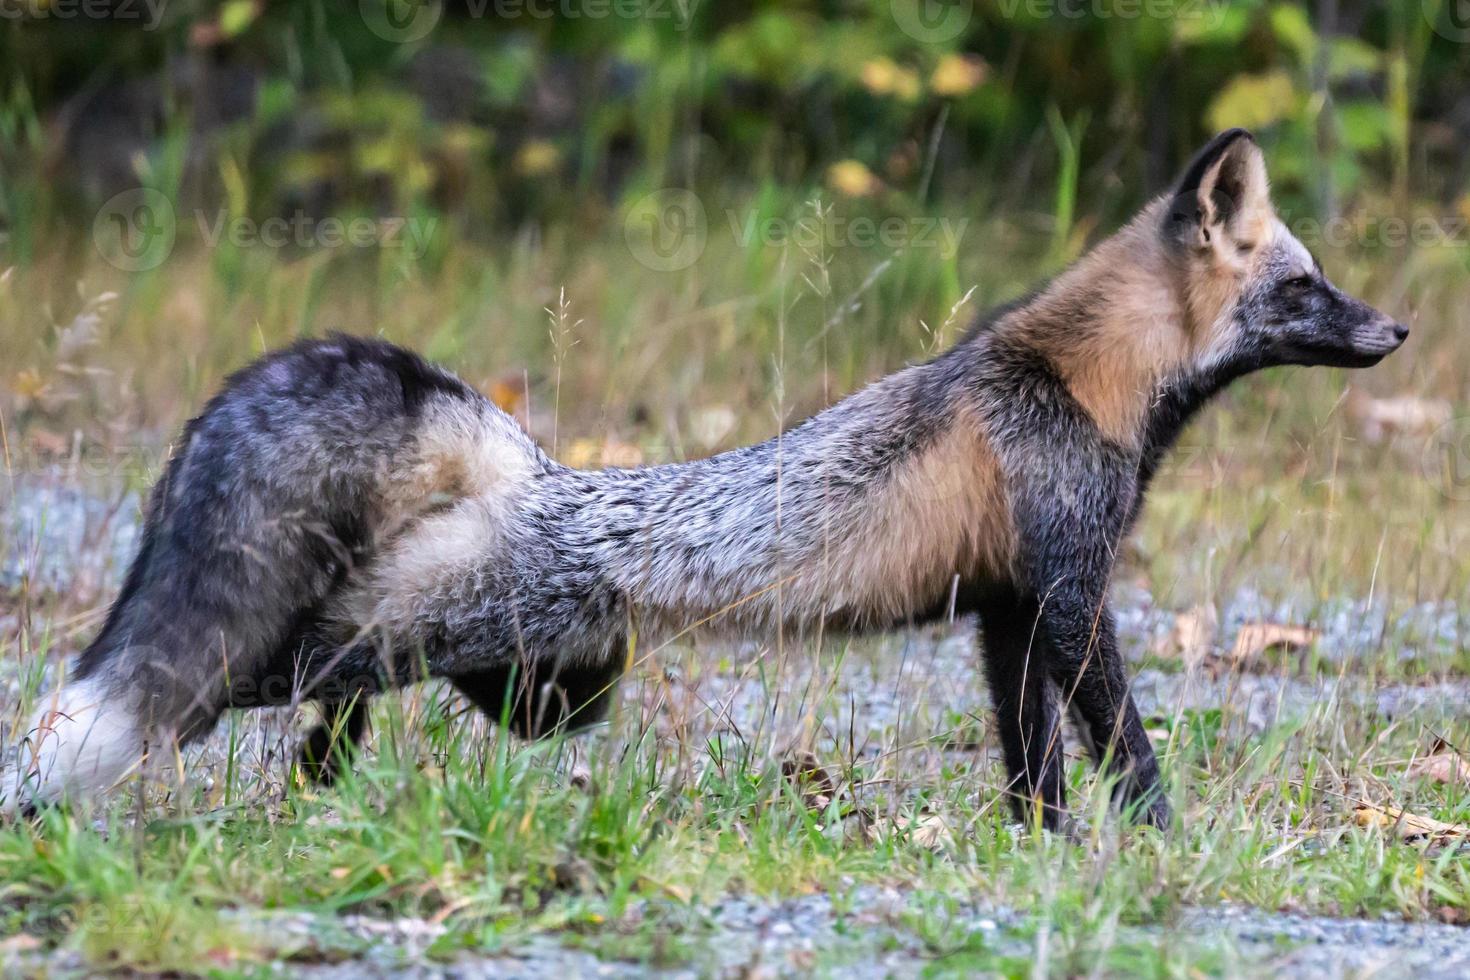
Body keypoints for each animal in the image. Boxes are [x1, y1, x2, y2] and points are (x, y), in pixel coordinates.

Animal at [0, 130, 1405, 834]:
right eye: (1306, 287)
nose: (1394, 330)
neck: (1078, 384)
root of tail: (528, 466)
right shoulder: (1069, 592)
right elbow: (1128, 744)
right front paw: (1163, 845)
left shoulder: (1009, 608)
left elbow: (1033, 760)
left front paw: (1046, 853)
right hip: (443, 652)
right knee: (253, 669)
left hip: (553, 688)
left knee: (336, 680)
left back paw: (318, 778)